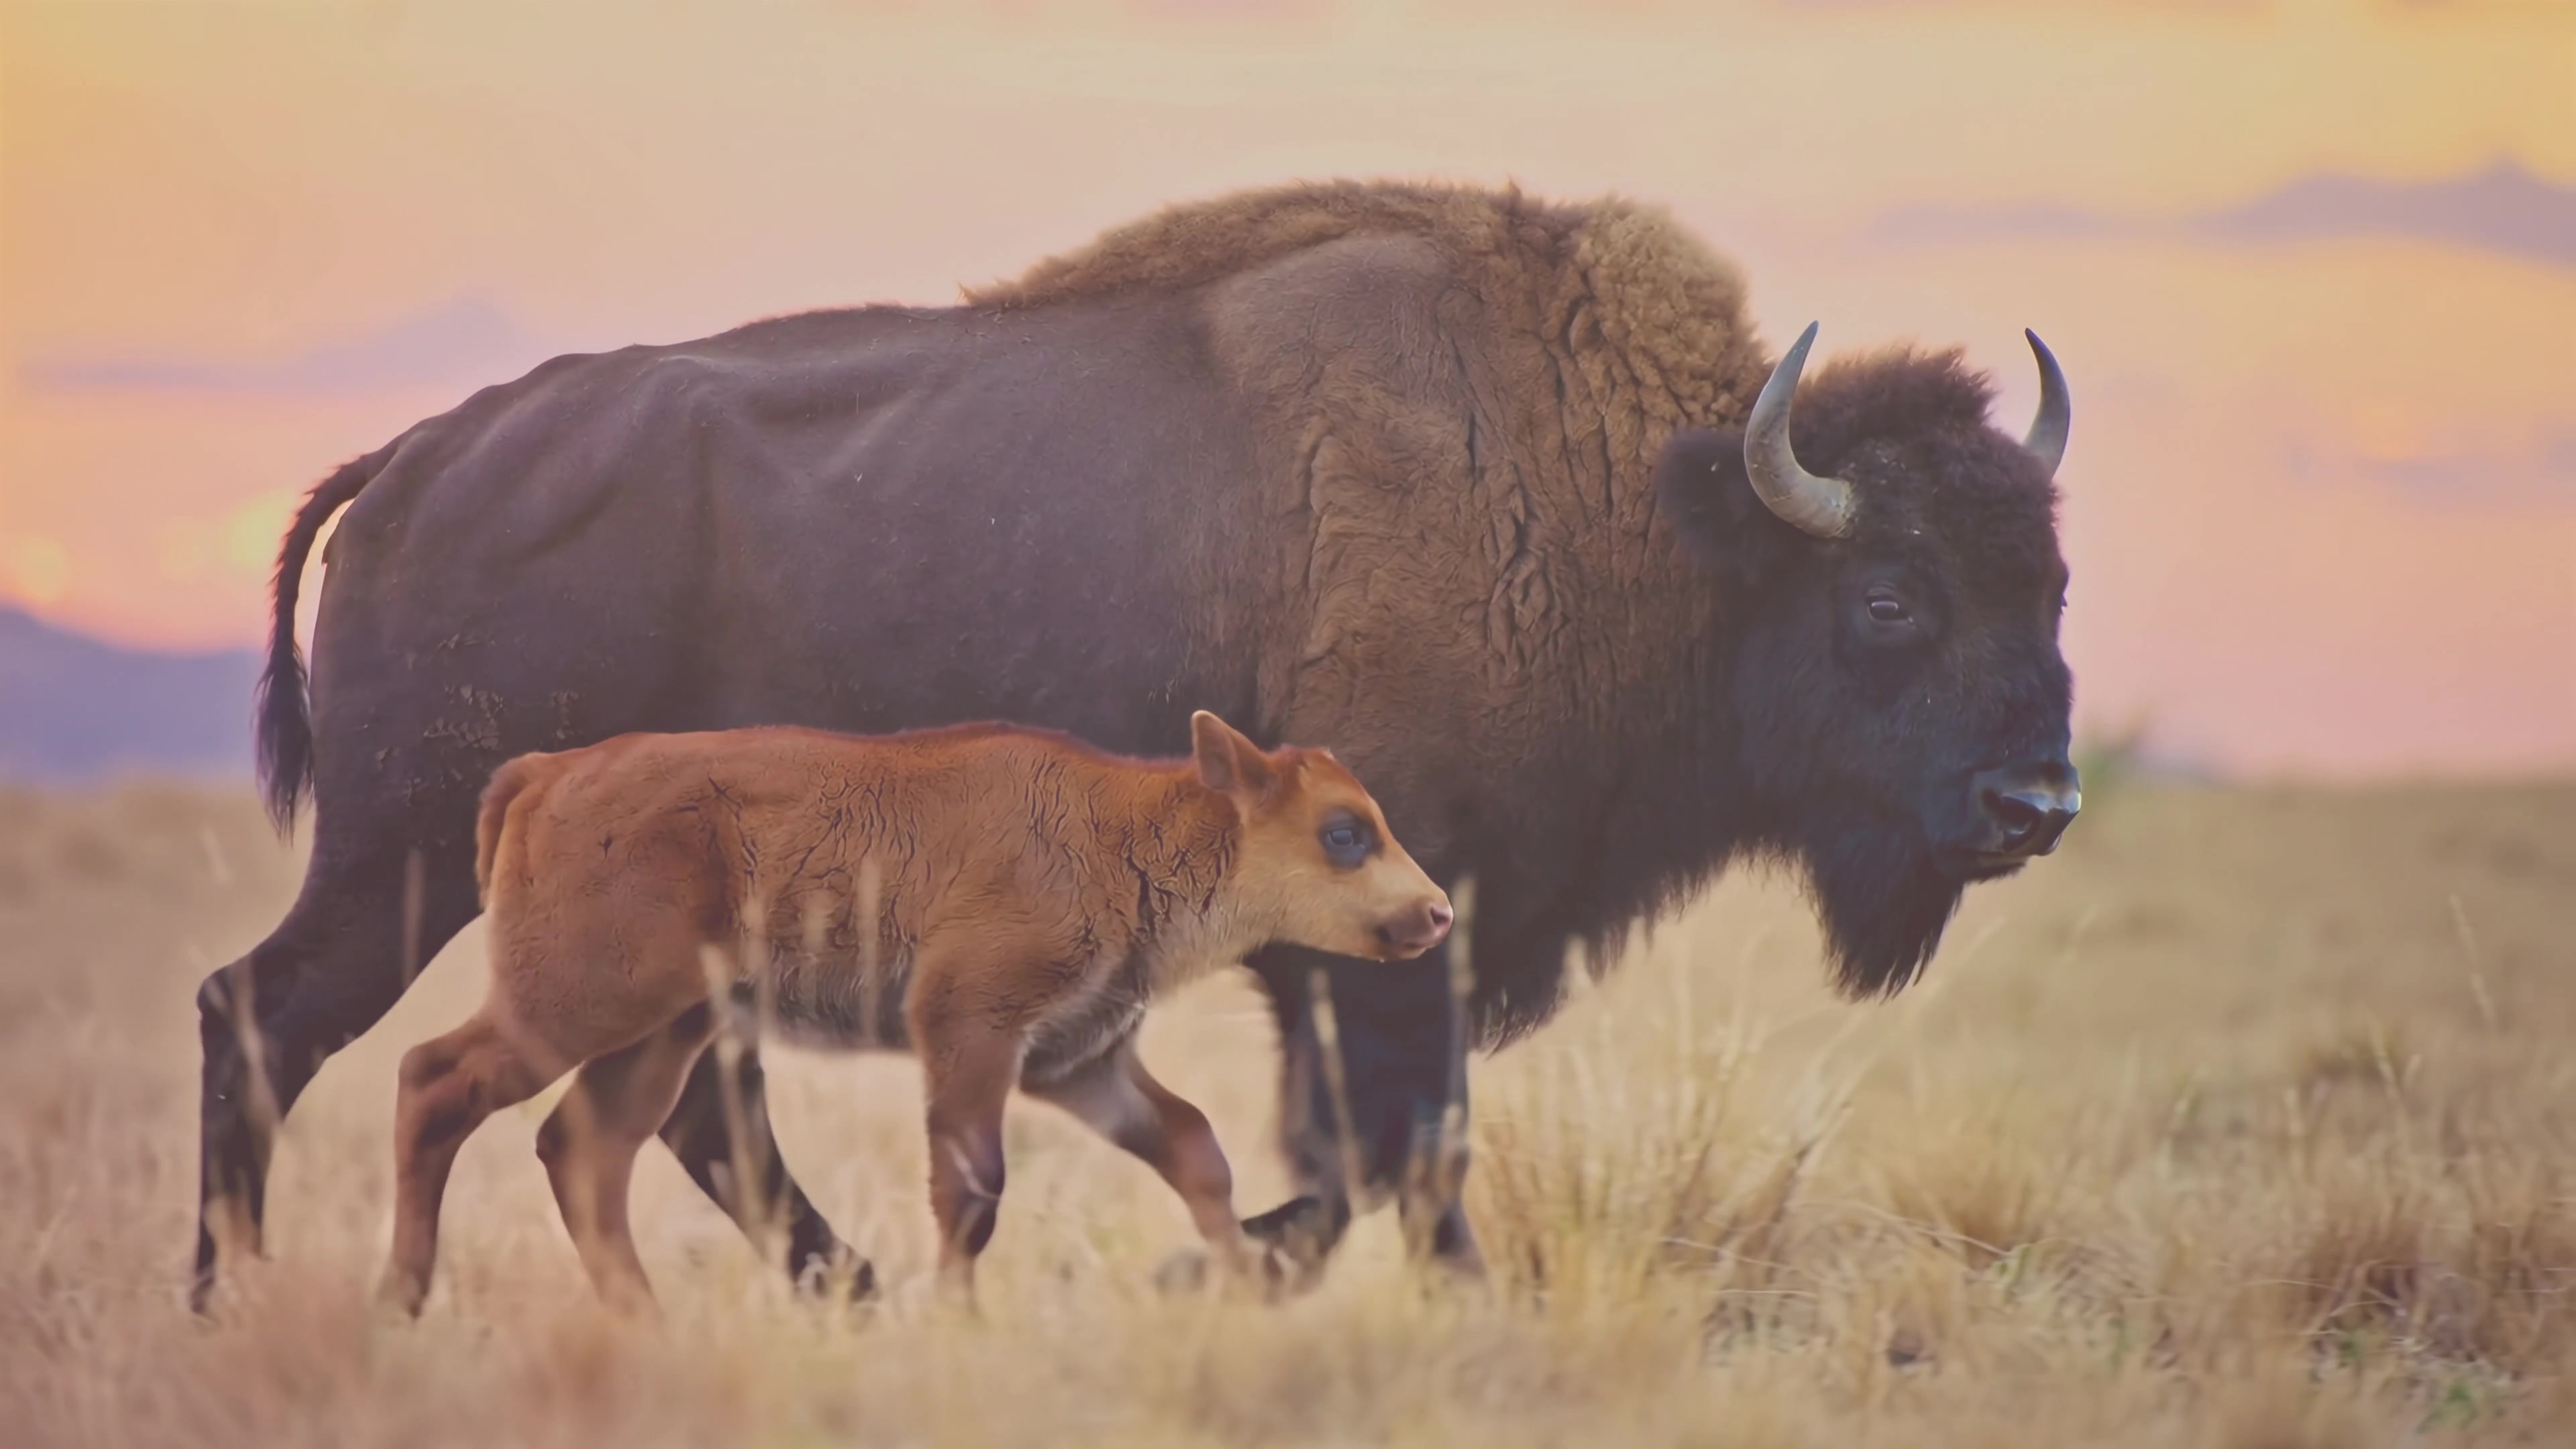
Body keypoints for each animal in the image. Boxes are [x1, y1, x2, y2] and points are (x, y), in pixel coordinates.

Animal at [374, 711, 1450, 1316]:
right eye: (1344, 833)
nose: (1439, 913)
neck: (1126, 828)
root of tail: (546, 775)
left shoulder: (1076, 1061)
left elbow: (1195, 1149)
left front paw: (1245, 1281)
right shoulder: (970, 1030)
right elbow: (971, 1190)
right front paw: (960, 1322)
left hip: (661, 1033)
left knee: (586, 1149)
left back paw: (644, 1323)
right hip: (577, 1003)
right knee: (435, 1080)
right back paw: (403, 1300)